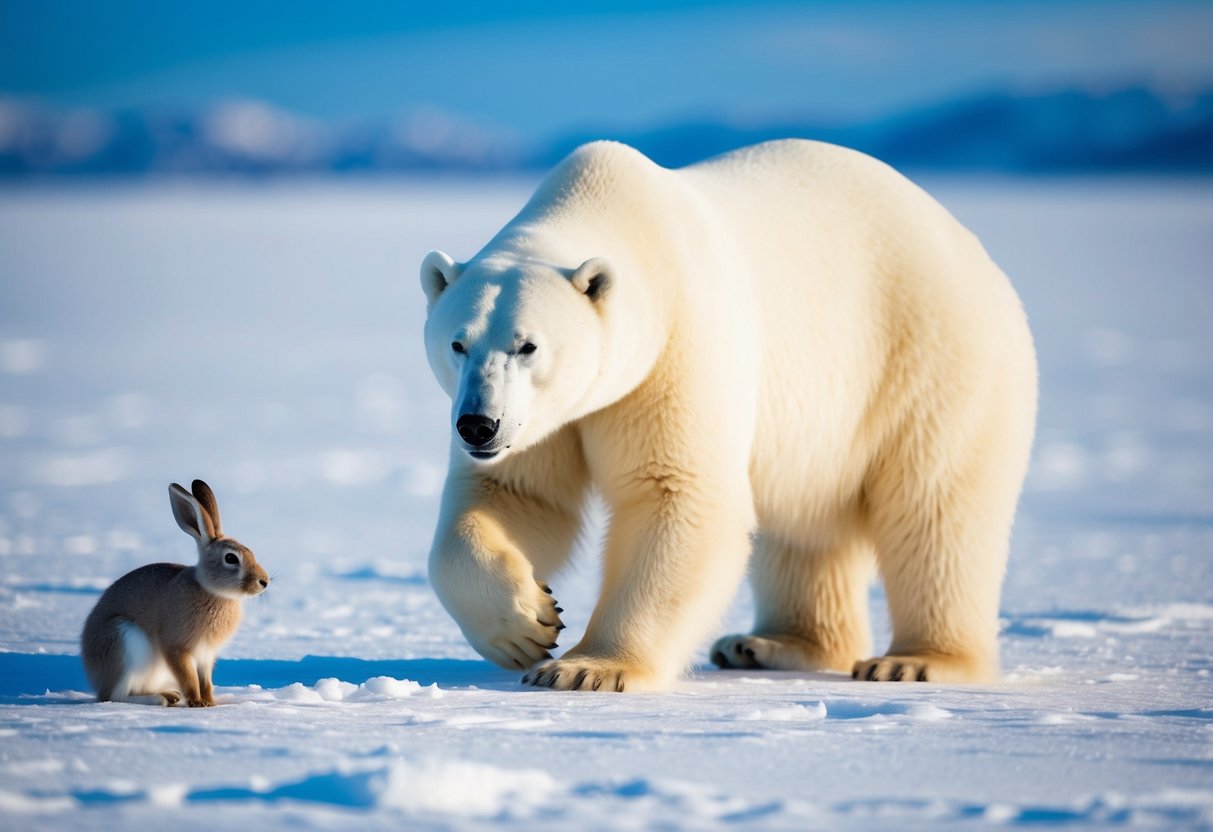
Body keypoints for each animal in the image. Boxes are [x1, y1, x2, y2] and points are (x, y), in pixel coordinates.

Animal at [80, 479, 269, 706]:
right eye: (231, 558)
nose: (264, 582)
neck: (213, 592)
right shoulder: (176, 646)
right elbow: (189, 678)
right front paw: (197, 703)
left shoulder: (205, 655)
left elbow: (205, 681)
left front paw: (210, 703)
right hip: (124, 642)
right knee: (113, 696)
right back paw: (159, 699)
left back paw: (171, 695)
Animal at [419, 139, 1037, 692]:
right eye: (458, 343)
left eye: (528, 346)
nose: (478, 424)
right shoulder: (553, 418)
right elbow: (516, 495)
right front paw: (528, 624)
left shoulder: (679, 346)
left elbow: (677, 491)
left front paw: (586, 668)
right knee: (805, 528)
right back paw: (768, 644)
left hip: (933, 359)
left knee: (935, 507)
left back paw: (916, 660)